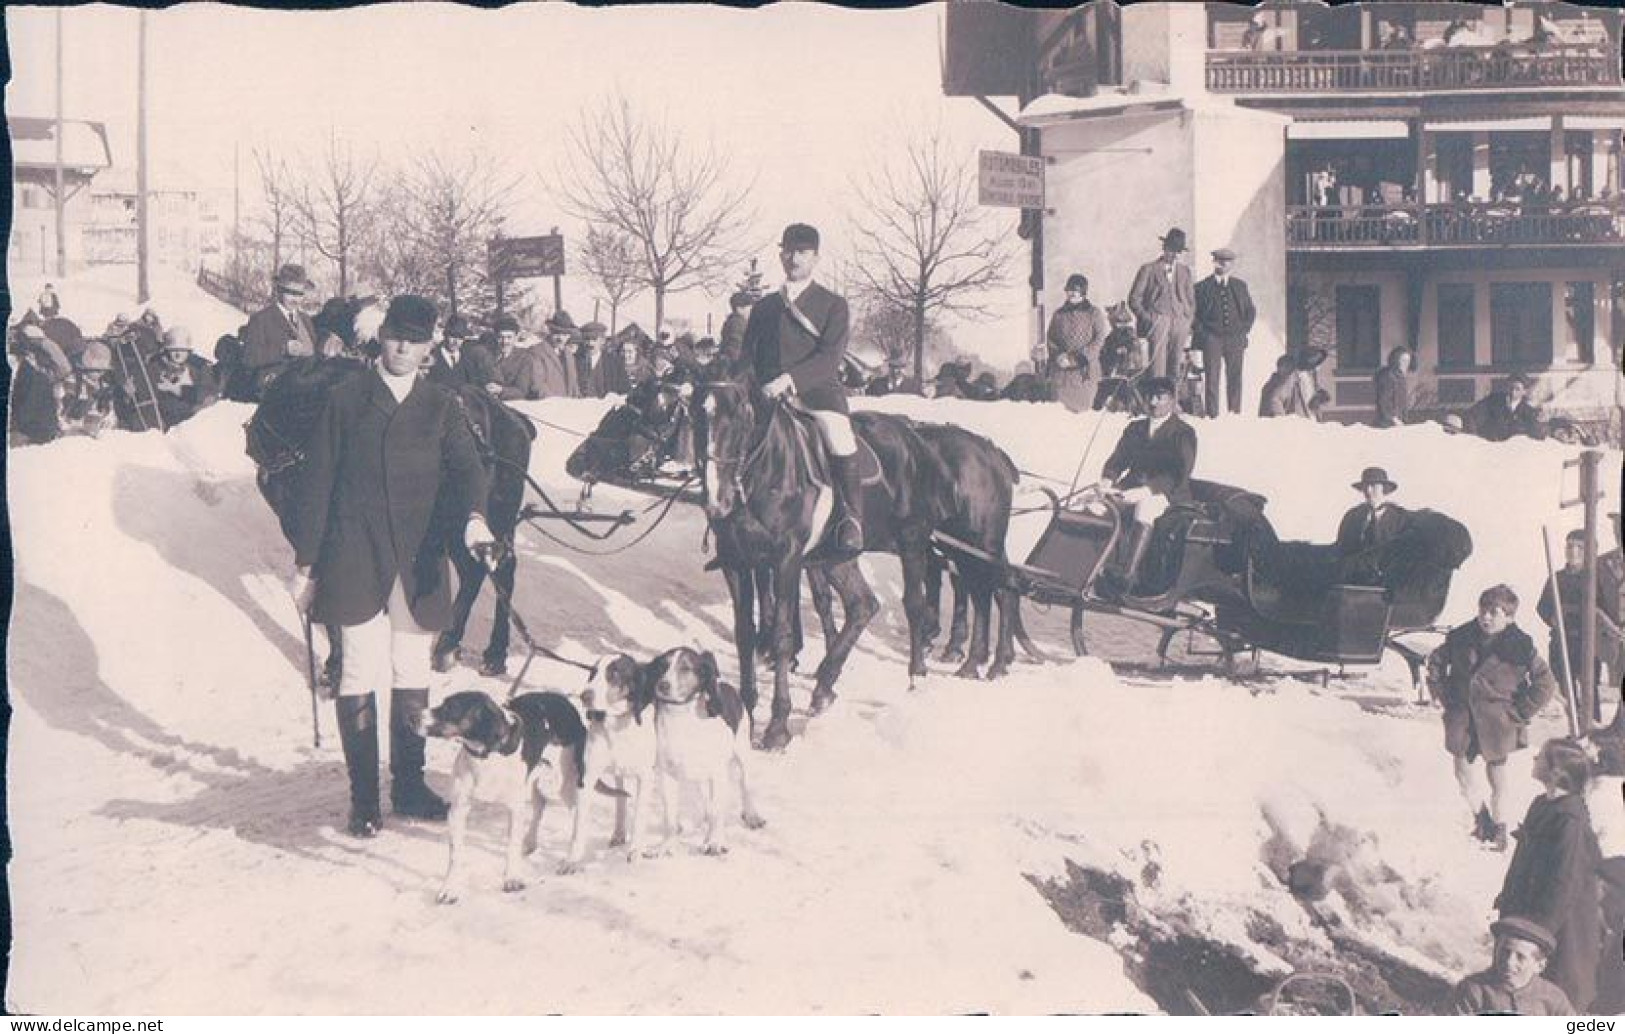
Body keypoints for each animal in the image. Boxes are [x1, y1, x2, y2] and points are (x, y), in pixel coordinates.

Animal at [243, 357, 533, 686]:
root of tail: (513, 418)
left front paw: (336, 666)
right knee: (486, 569)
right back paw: (469, 650)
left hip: (485, 519)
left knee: (492, 571)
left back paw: (470, 650)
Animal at [419, 689, 591, 903]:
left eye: (452, 707)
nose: (413, 717)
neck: (486, 757)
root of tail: (563, 700)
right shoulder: (458, 809)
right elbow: (455, 855)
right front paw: (449, 889)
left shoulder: (514, 809)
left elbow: (511, 846)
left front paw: (512, 879)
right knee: (540, 805)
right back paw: (530, 843)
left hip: (567, 783)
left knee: (579, 819)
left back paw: (571, 861)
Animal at [572, 647, 767, 864]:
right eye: (662, 667)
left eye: (685, 667)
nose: (663, 685)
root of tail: (728, 686)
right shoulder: (665, 776)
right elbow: (670, 818)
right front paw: (665, 847)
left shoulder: (716, 775)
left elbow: (717, 813)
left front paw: (716, 843)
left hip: (741, 756)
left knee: (744, 788)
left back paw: (751, 817)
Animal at [692, 383, 1020, 747]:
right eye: (695, 420)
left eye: (738, 423)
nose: (716, 501)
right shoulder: (737, 563)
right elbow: (745, 634)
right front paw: (747, 715)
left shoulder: (787, 560)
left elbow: (782, 635)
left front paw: (777, 726)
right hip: (869, 555)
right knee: (868, 604)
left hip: (937, 541)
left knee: (934, 601)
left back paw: (926, 673)